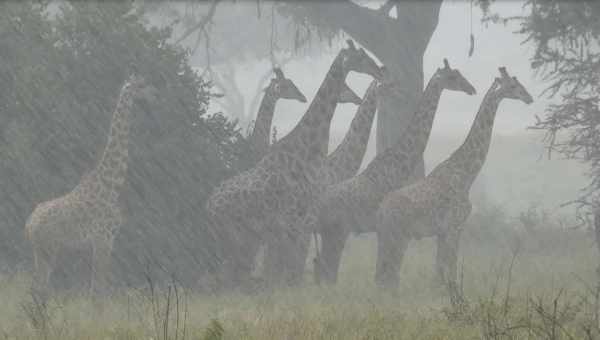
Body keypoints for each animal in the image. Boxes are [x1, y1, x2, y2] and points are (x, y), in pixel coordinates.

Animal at [25, 72, 157, 294]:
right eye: (142, 86)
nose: (153, 96)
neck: (111, 184)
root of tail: (29, 225)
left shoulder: (91, 246)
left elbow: (94, 288)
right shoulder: (104, 239)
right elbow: (99, 289)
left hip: (41, 251)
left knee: (36, 287)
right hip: (49, 249)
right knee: (39, 287)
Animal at [312, 59, 476, 284]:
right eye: (453, 77)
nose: (471, 89)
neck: (398, 164)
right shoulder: (383, 226)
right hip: (337, 231)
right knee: (326, 267)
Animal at [378, 67, 532, 302]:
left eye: (520, 83)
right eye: (514, 86)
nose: (529, 98)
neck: (467, 175)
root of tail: (382, 210)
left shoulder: (443, 232)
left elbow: (440, 271)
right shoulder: (455, 226)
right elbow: (449, 268)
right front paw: (455, 301)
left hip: (386, 237)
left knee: (383, 274)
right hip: (398, 236)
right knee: (390, 274)